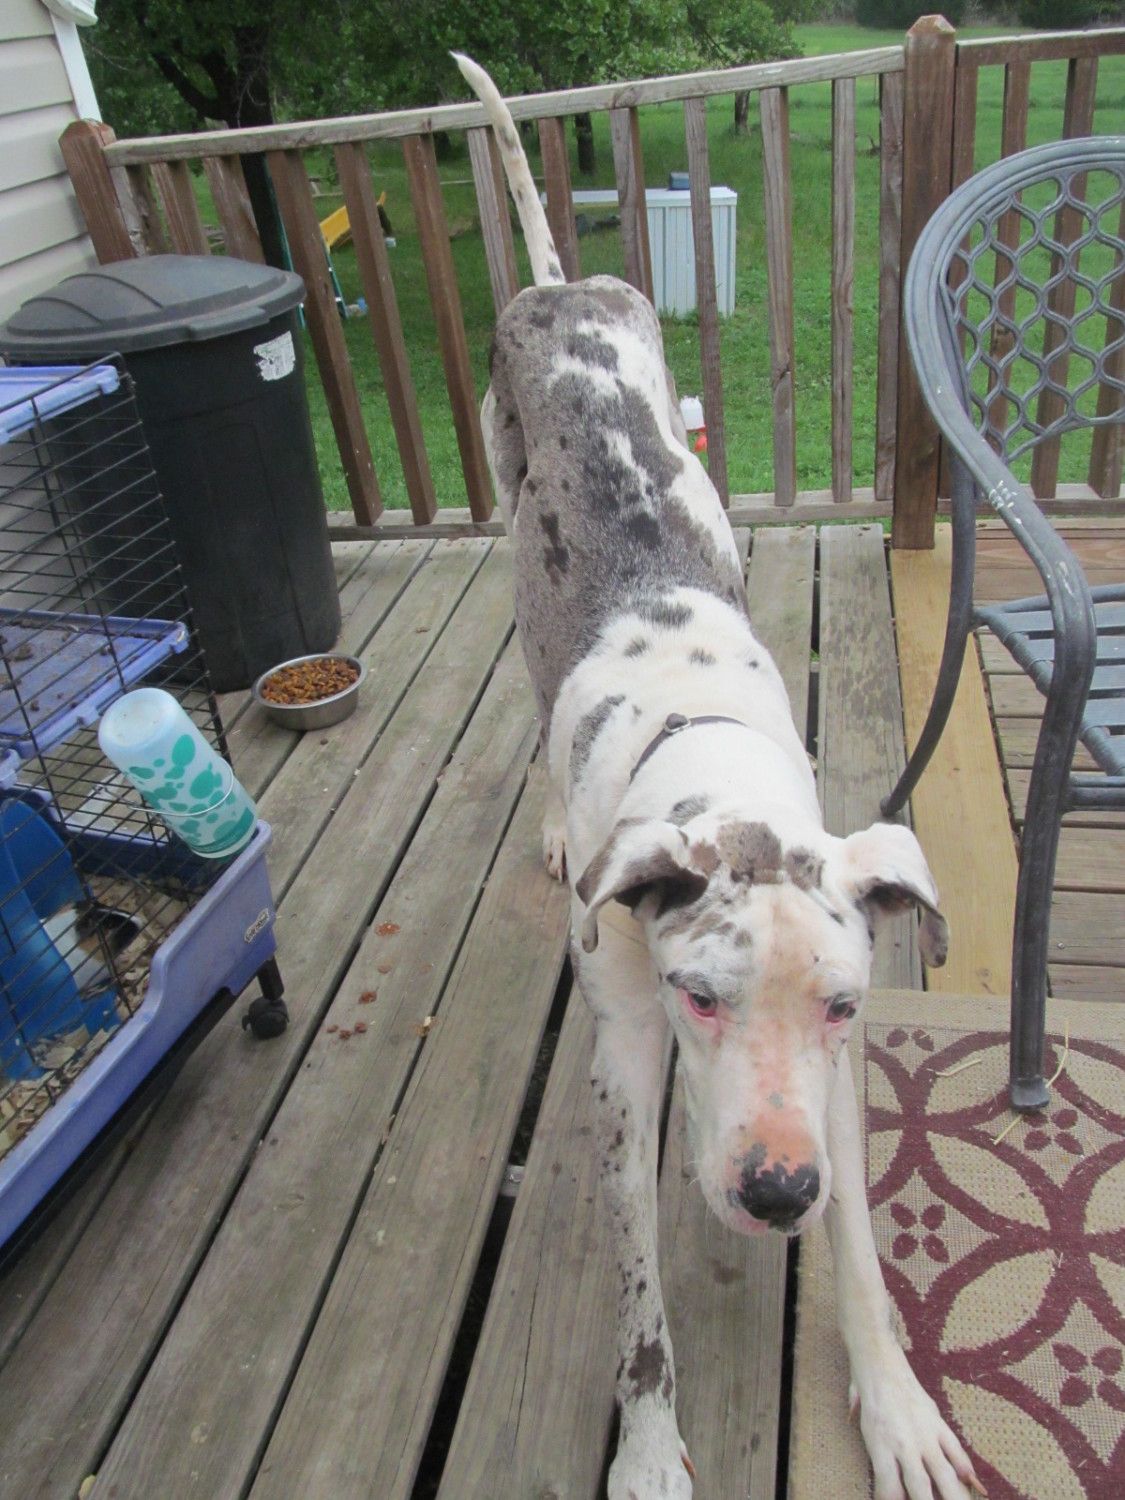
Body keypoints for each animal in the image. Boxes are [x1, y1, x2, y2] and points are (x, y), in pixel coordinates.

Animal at [455, 54, 983, 1500]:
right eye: (698, 996)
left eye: (847, 1007)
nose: (775, 1195)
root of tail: (558, 287)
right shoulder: (625, 1068)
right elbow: (641, 1305)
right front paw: (645, 1451)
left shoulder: (838, 1085)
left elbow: (865, 1248)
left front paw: (897, 1406)